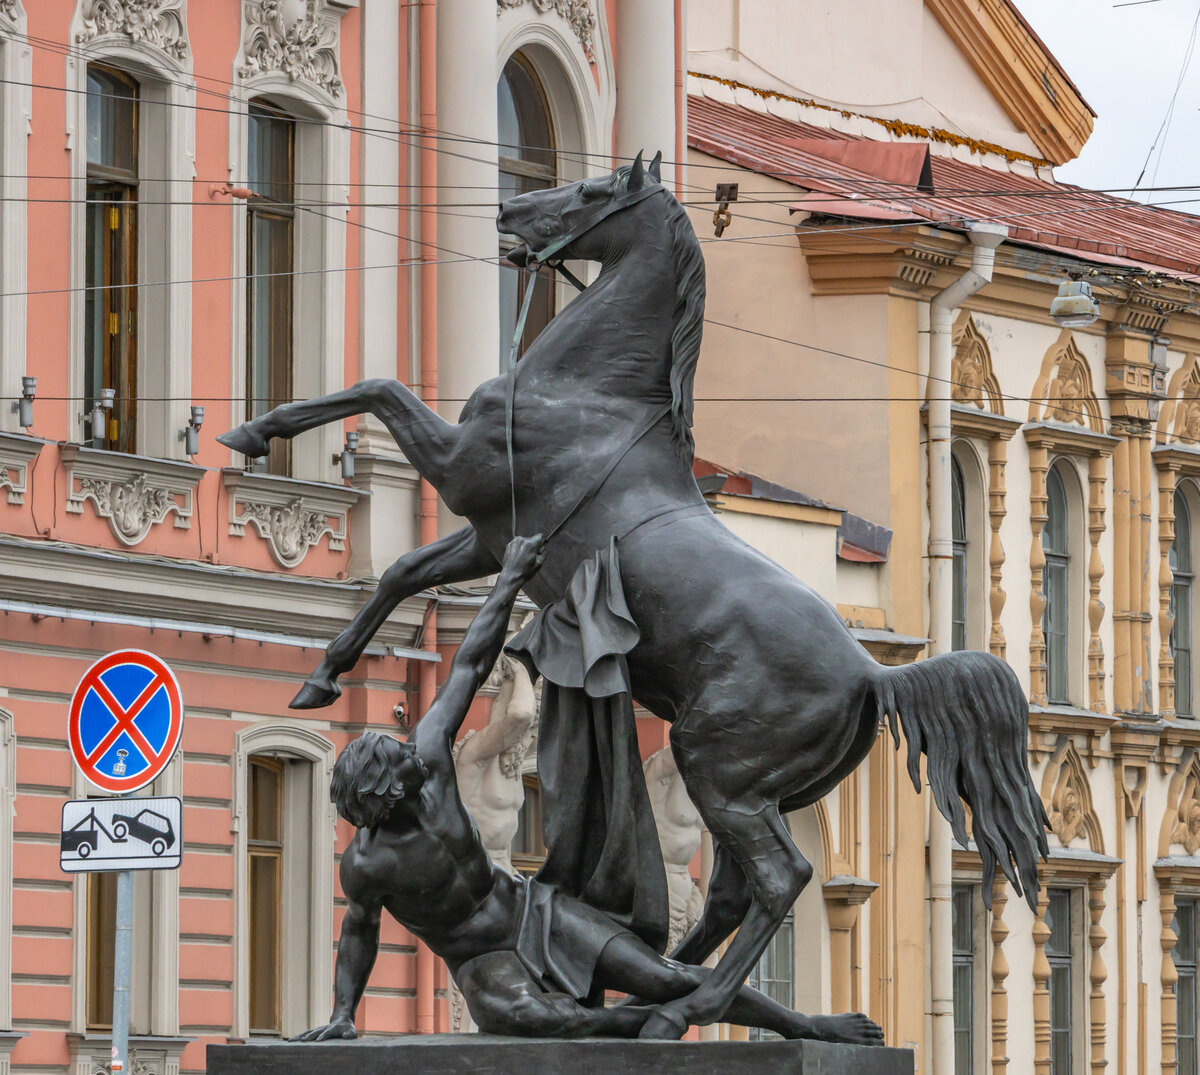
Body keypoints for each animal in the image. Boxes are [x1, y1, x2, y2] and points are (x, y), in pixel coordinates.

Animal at [220, 153, 1046, 1041]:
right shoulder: (487, 533)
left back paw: (678, 1009)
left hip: (717, 769)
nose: (507, 210)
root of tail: (873, 672)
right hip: (756, 789)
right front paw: (321, 675)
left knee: (780, 879)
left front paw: (253, 431)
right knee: (731, 892)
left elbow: (378, 386)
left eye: (590, 191)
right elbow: (404, 569)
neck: (591, 394)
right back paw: (662, 988)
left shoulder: (460, 469)